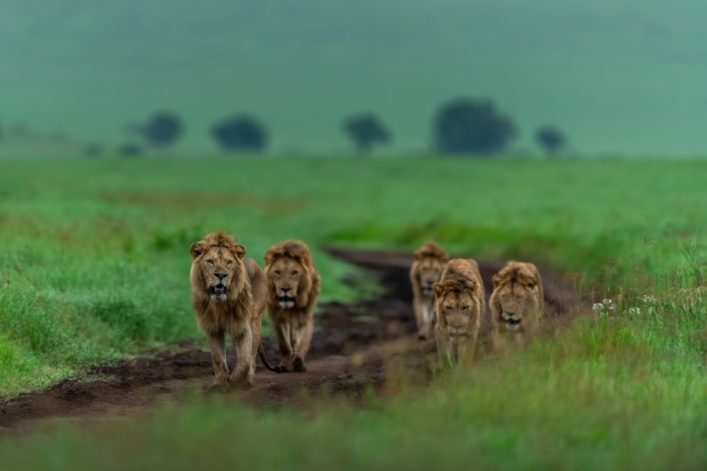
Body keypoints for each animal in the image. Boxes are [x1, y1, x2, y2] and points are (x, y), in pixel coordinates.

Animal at [189, 232, 268, 387]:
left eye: (228, 262)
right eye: (210, 261)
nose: (221, 275)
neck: (220, 304)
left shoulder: (242, 326)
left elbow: (245, 360)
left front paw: (235, 380)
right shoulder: (212, 328)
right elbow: (218, 359)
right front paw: (220, 383)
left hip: (255, 321)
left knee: (252, 357)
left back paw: (248, 381)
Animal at [264, 240, 321, 372]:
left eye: (294, 273)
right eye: (277, 272)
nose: (285, 289)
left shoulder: (305, 318)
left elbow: (303, 341)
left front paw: (299, 361)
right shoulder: (277, 319)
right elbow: (284, 344)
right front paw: (285, 364)